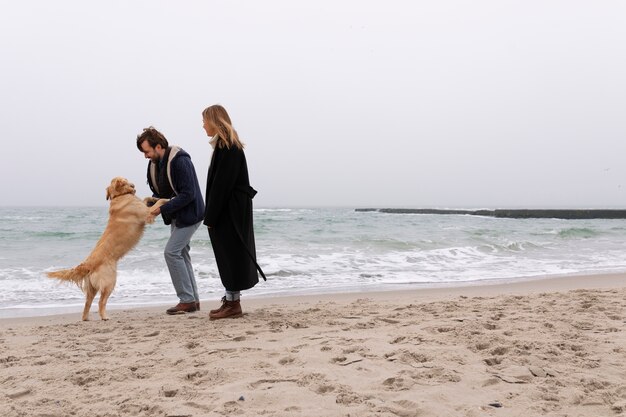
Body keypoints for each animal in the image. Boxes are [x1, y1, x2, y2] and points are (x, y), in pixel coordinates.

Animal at [46, 177, 167, 320]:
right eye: (125, 180)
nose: (133, 185)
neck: (119, 196)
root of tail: (88, 264)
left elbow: (146, 199)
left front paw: (152, 198)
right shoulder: (147, 214)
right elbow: (159, 202)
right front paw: (167, 199)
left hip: (92, 288)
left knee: (87, 303)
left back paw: (86, 318)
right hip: (110, 281)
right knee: (101, 301)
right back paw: (104, 316)